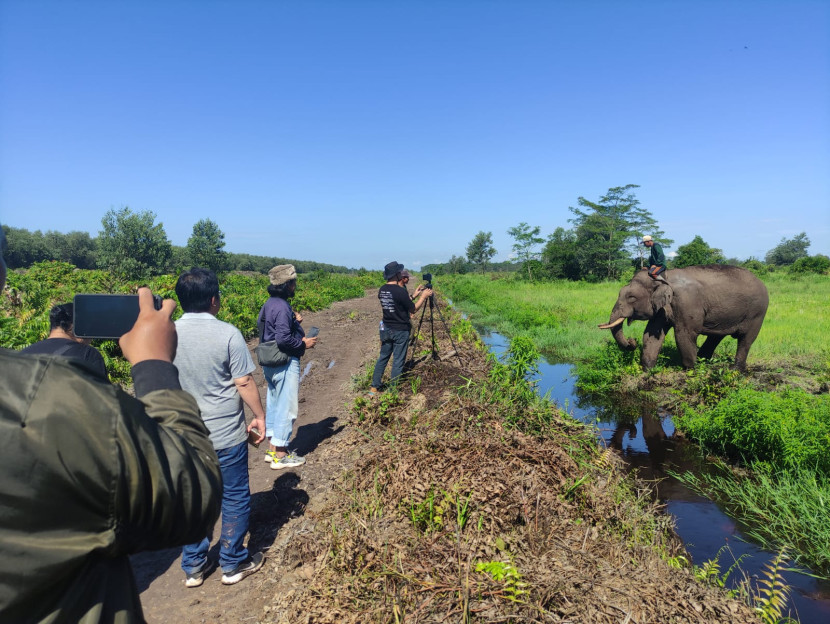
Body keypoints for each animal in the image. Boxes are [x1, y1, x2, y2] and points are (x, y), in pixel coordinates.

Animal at [600, 264, 772, 370]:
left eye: (631, 298)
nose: (631, 342)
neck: (663, 277)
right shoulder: (662, 308)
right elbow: (652, 334)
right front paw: (648, 370)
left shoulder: (686, 302)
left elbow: (684, 334)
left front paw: (690, 370)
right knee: (715, 337)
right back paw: (703, 361)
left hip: (757, 312)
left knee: (746, 339)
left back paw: (734, 369)